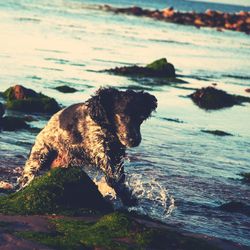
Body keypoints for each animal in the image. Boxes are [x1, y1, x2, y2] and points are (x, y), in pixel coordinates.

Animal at [18, 88, 157, 205]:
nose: (135, 141)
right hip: (39, 156)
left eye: (141, 118)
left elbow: (118, 177)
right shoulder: (100, 152)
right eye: (122, 116)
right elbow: (113, 178)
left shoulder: (116, 154)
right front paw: (127, 197)